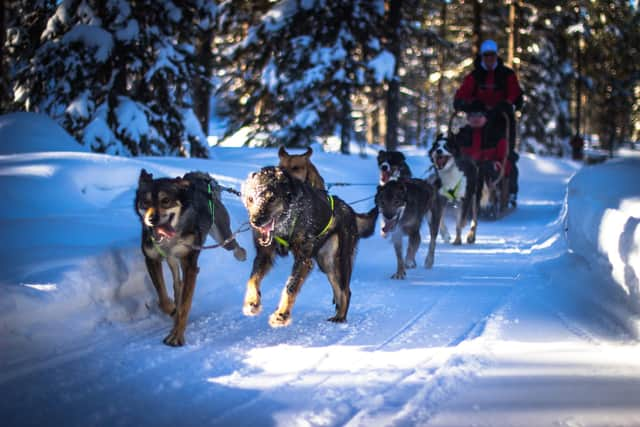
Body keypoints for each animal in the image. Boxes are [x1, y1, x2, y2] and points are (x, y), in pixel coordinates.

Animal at [134, 169, 246, 346]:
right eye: (145, 202)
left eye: (165, 201)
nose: (152, 219)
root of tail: (201, 178)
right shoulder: (152, 260)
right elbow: (162, 298)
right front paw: (171, 308)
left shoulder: (190, 265)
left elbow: (185, 305)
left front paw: (176, 336)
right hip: (172, 260)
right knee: (177, 282)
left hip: (223, 238)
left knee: (235, 246)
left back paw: (242, 254)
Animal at [242, 167, 378, 328]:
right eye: (251, 199)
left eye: (272, 199)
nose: (255, 221)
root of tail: (350, 210)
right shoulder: (264, 256)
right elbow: (252, 279)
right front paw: (252, 302)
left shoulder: (304, 260)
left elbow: (290, 287)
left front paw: (281, 315)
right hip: (326, 263)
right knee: (337, 287)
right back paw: (338, 311)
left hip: (340, 260)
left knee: (346, 290)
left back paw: (341, 316)